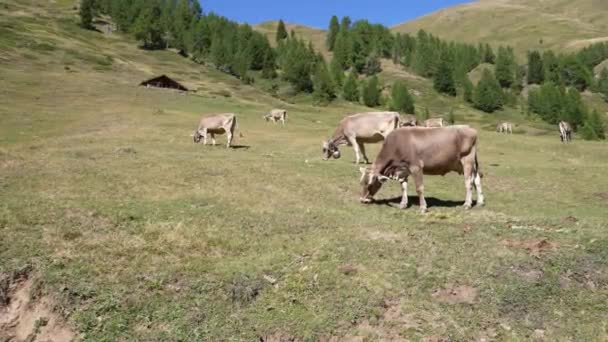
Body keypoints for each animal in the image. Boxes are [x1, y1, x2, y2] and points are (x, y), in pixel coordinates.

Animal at [358, 126, 486, 211]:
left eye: (369, 184)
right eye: (361, 183)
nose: (362, 200)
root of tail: (469, 128)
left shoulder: (416, 167)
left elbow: (419, 188)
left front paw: (423, 207)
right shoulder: (403, 169)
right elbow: (403, 187)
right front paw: (403, 204)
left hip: (467, 161)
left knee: (469, 183)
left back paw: (467, 204)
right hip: (470, 164)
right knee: (477, 180)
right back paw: (480, 202)